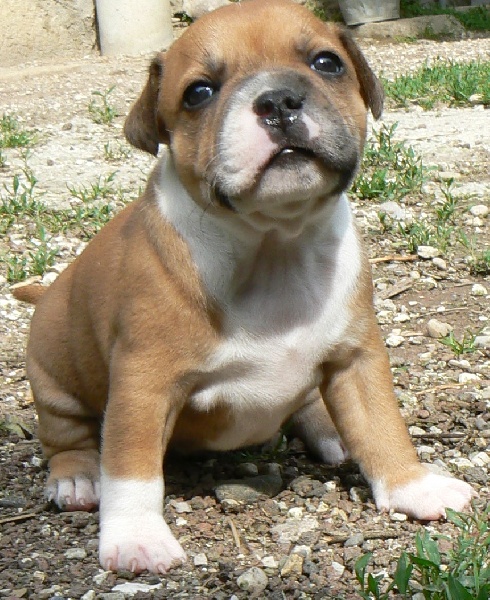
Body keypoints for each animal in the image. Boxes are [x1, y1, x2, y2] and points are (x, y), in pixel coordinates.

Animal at [13, 0, 474, 575]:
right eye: (198, 93)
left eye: (327, 63)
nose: (279, 100)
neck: (273, 245)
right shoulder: (143, 384)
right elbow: (130, 465)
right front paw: (136, 536)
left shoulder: (357, 358)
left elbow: (382, 424)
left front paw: (413, 486)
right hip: (54, 374)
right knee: (68, 436)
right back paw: (76, 477)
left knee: (313, 406)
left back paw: (331, 430)